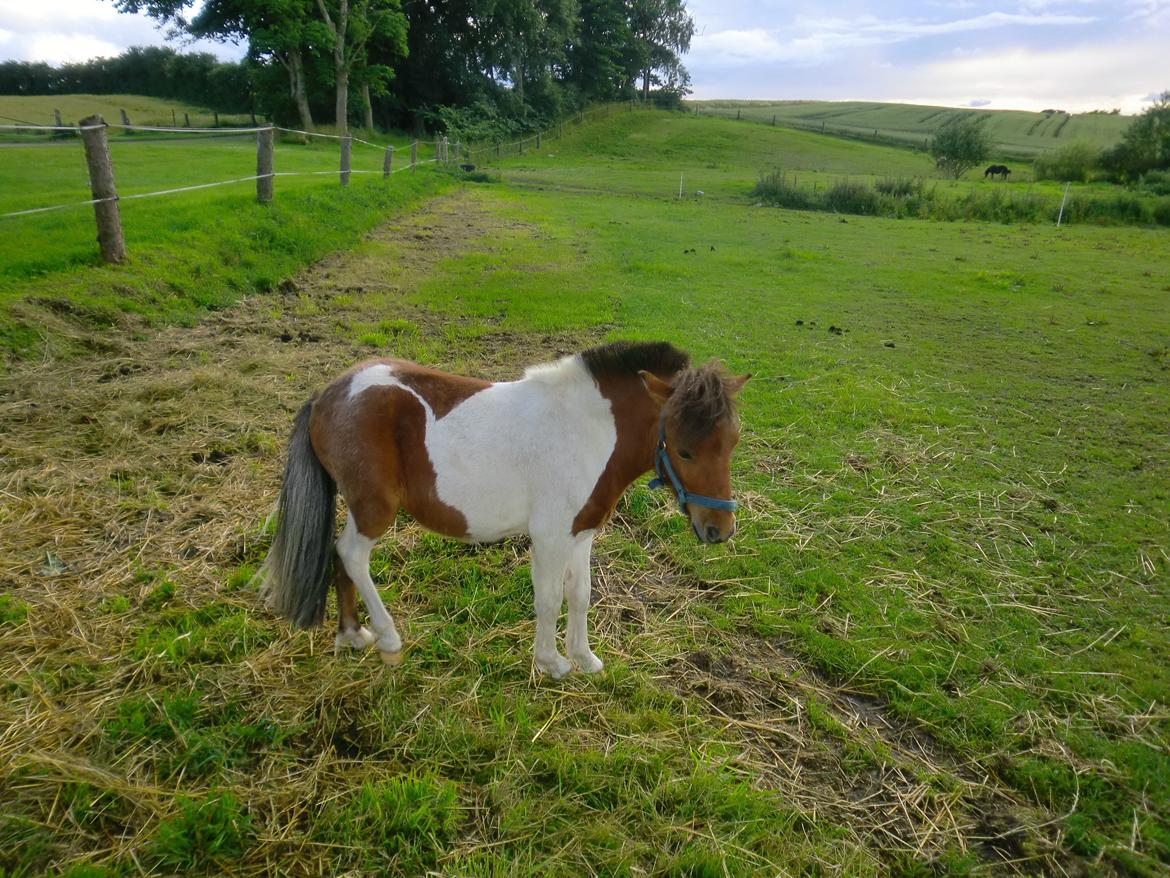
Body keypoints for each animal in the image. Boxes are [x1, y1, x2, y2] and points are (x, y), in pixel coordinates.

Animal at [256, 339, 748, 678]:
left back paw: (353, 635)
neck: (586, 429)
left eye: (732, 442)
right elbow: (549, 598)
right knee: (352, 555)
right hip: (373, 508)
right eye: (684, 451)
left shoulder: (581, 533)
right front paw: (552, 663)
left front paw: (585, 658)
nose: (719, 529)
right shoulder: (550, 537)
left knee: (339, 557)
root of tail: (328, 394)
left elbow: (581, 595)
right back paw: (388, 639)